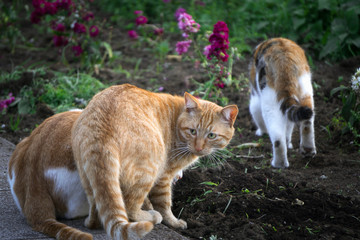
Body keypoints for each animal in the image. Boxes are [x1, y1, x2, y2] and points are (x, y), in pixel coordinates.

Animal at [7, 83, 238, 239]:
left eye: (211, 136)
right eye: (193, 132)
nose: (199, 148)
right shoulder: (163, 176)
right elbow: (165, 204)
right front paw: (174, 222)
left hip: (88, 173)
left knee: (98, 212)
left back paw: (94, 221)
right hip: (149, 168)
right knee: (130, 207)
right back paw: (151, 217)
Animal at [249, 38, 316, 169]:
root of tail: (284, 58)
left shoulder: (255, 99)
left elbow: (257, 116)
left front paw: (261, 132)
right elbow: (289, 127)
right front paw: (289, 142)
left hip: (269, 101)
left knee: (277, 138)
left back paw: (279, 164)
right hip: (306, 90)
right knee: (307, 120)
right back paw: (308, 150)